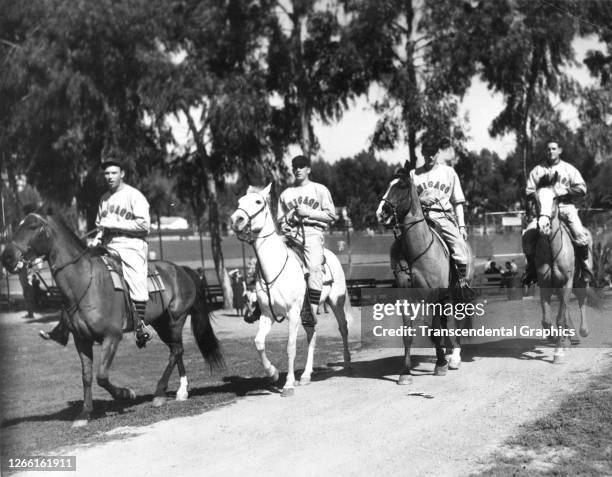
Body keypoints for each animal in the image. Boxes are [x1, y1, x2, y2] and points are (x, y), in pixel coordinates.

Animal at [0, 212, 225, 424]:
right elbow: (87, 376)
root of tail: (182, 270)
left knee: (177, 350)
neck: (86, 283)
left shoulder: (112, 337)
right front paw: (84, 413)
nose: (7, 256)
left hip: (175, 320)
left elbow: (101, 376)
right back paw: (180, 391)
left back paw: (163, 393)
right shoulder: (81, 340)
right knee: (176, 351)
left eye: (33, 227)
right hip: (161, 323)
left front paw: (125, 394)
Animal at [230, 182, 352, 394]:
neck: (274, 270)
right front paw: (273, 373)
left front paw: (288, 384)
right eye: (239, 202)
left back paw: (346, 362)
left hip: (335, 302)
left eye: (258, 201)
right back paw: (306, 375)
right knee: (312, 335)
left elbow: (290, 347)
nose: (236, 219)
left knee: (342, 328)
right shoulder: (267, 315)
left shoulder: (293, 313)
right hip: (308, 313)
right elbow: (258, 342)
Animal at [376, 165, 476, 384]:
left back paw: (453, 358)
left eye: (401, 186)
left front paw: (441, 364)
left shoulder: (435, 295)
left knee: (458, 320)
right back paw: (447, 353)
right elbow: (409, 333)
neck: (416, 250)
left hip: (456, 294)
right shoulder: (406, 298)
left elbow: (435, 329)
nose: (381, 212)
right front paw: (405, 373)